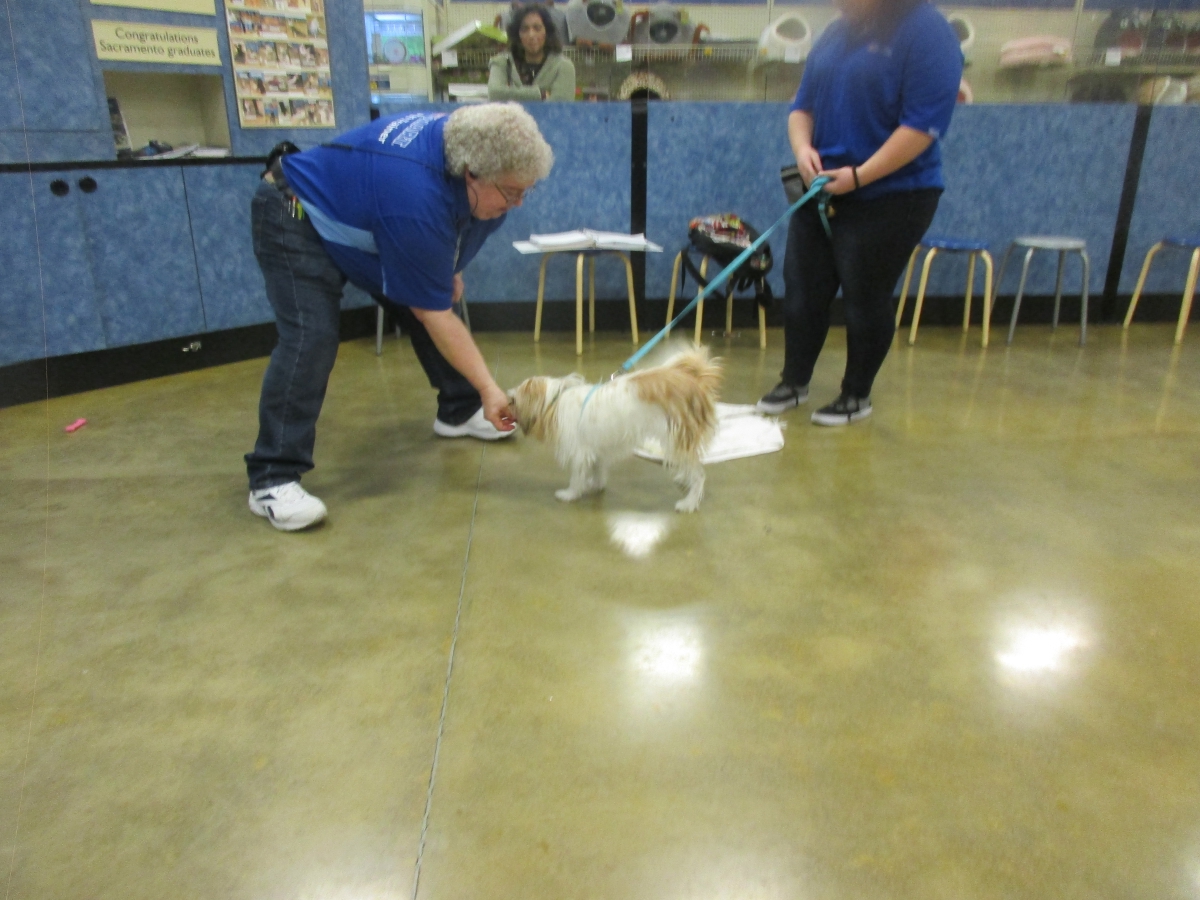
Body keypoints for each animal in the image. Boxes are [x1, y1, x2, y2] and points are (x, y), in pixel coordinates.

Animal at [507, 347, 722, 512]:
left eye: (513, 401)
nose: (506, 400)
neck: (553, 401)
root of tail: (694, 381)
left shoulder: (579, 452)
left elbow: (577, 476)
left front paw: (570, 493)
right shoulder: (595, 449)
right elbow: (597, 468)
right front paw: (596, 484)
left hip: (677, 437)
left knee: (699, 475)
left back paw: (689, 503)